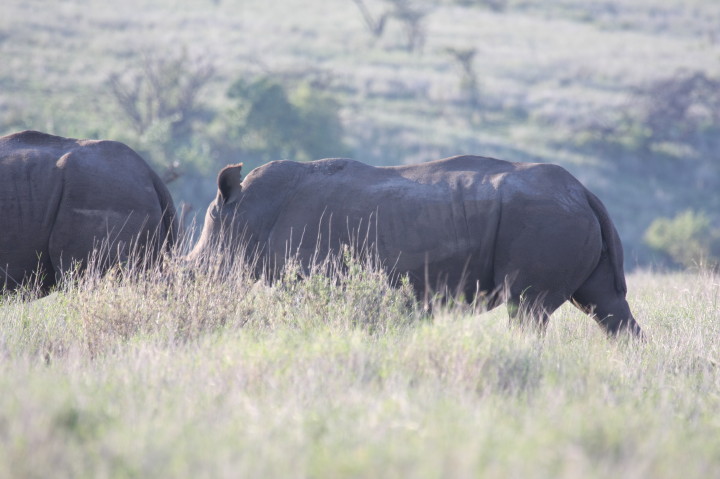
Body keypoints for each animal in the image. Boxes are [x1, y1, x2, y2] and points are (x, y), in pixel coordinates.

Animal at [189, 155, 642, 336]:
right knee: (605, 305)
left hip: (547, 218)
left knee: (527, 308)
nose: (184, 283)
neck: (246, 212)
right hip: (566, 215)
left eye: (195, 271)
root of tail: (584, 192)